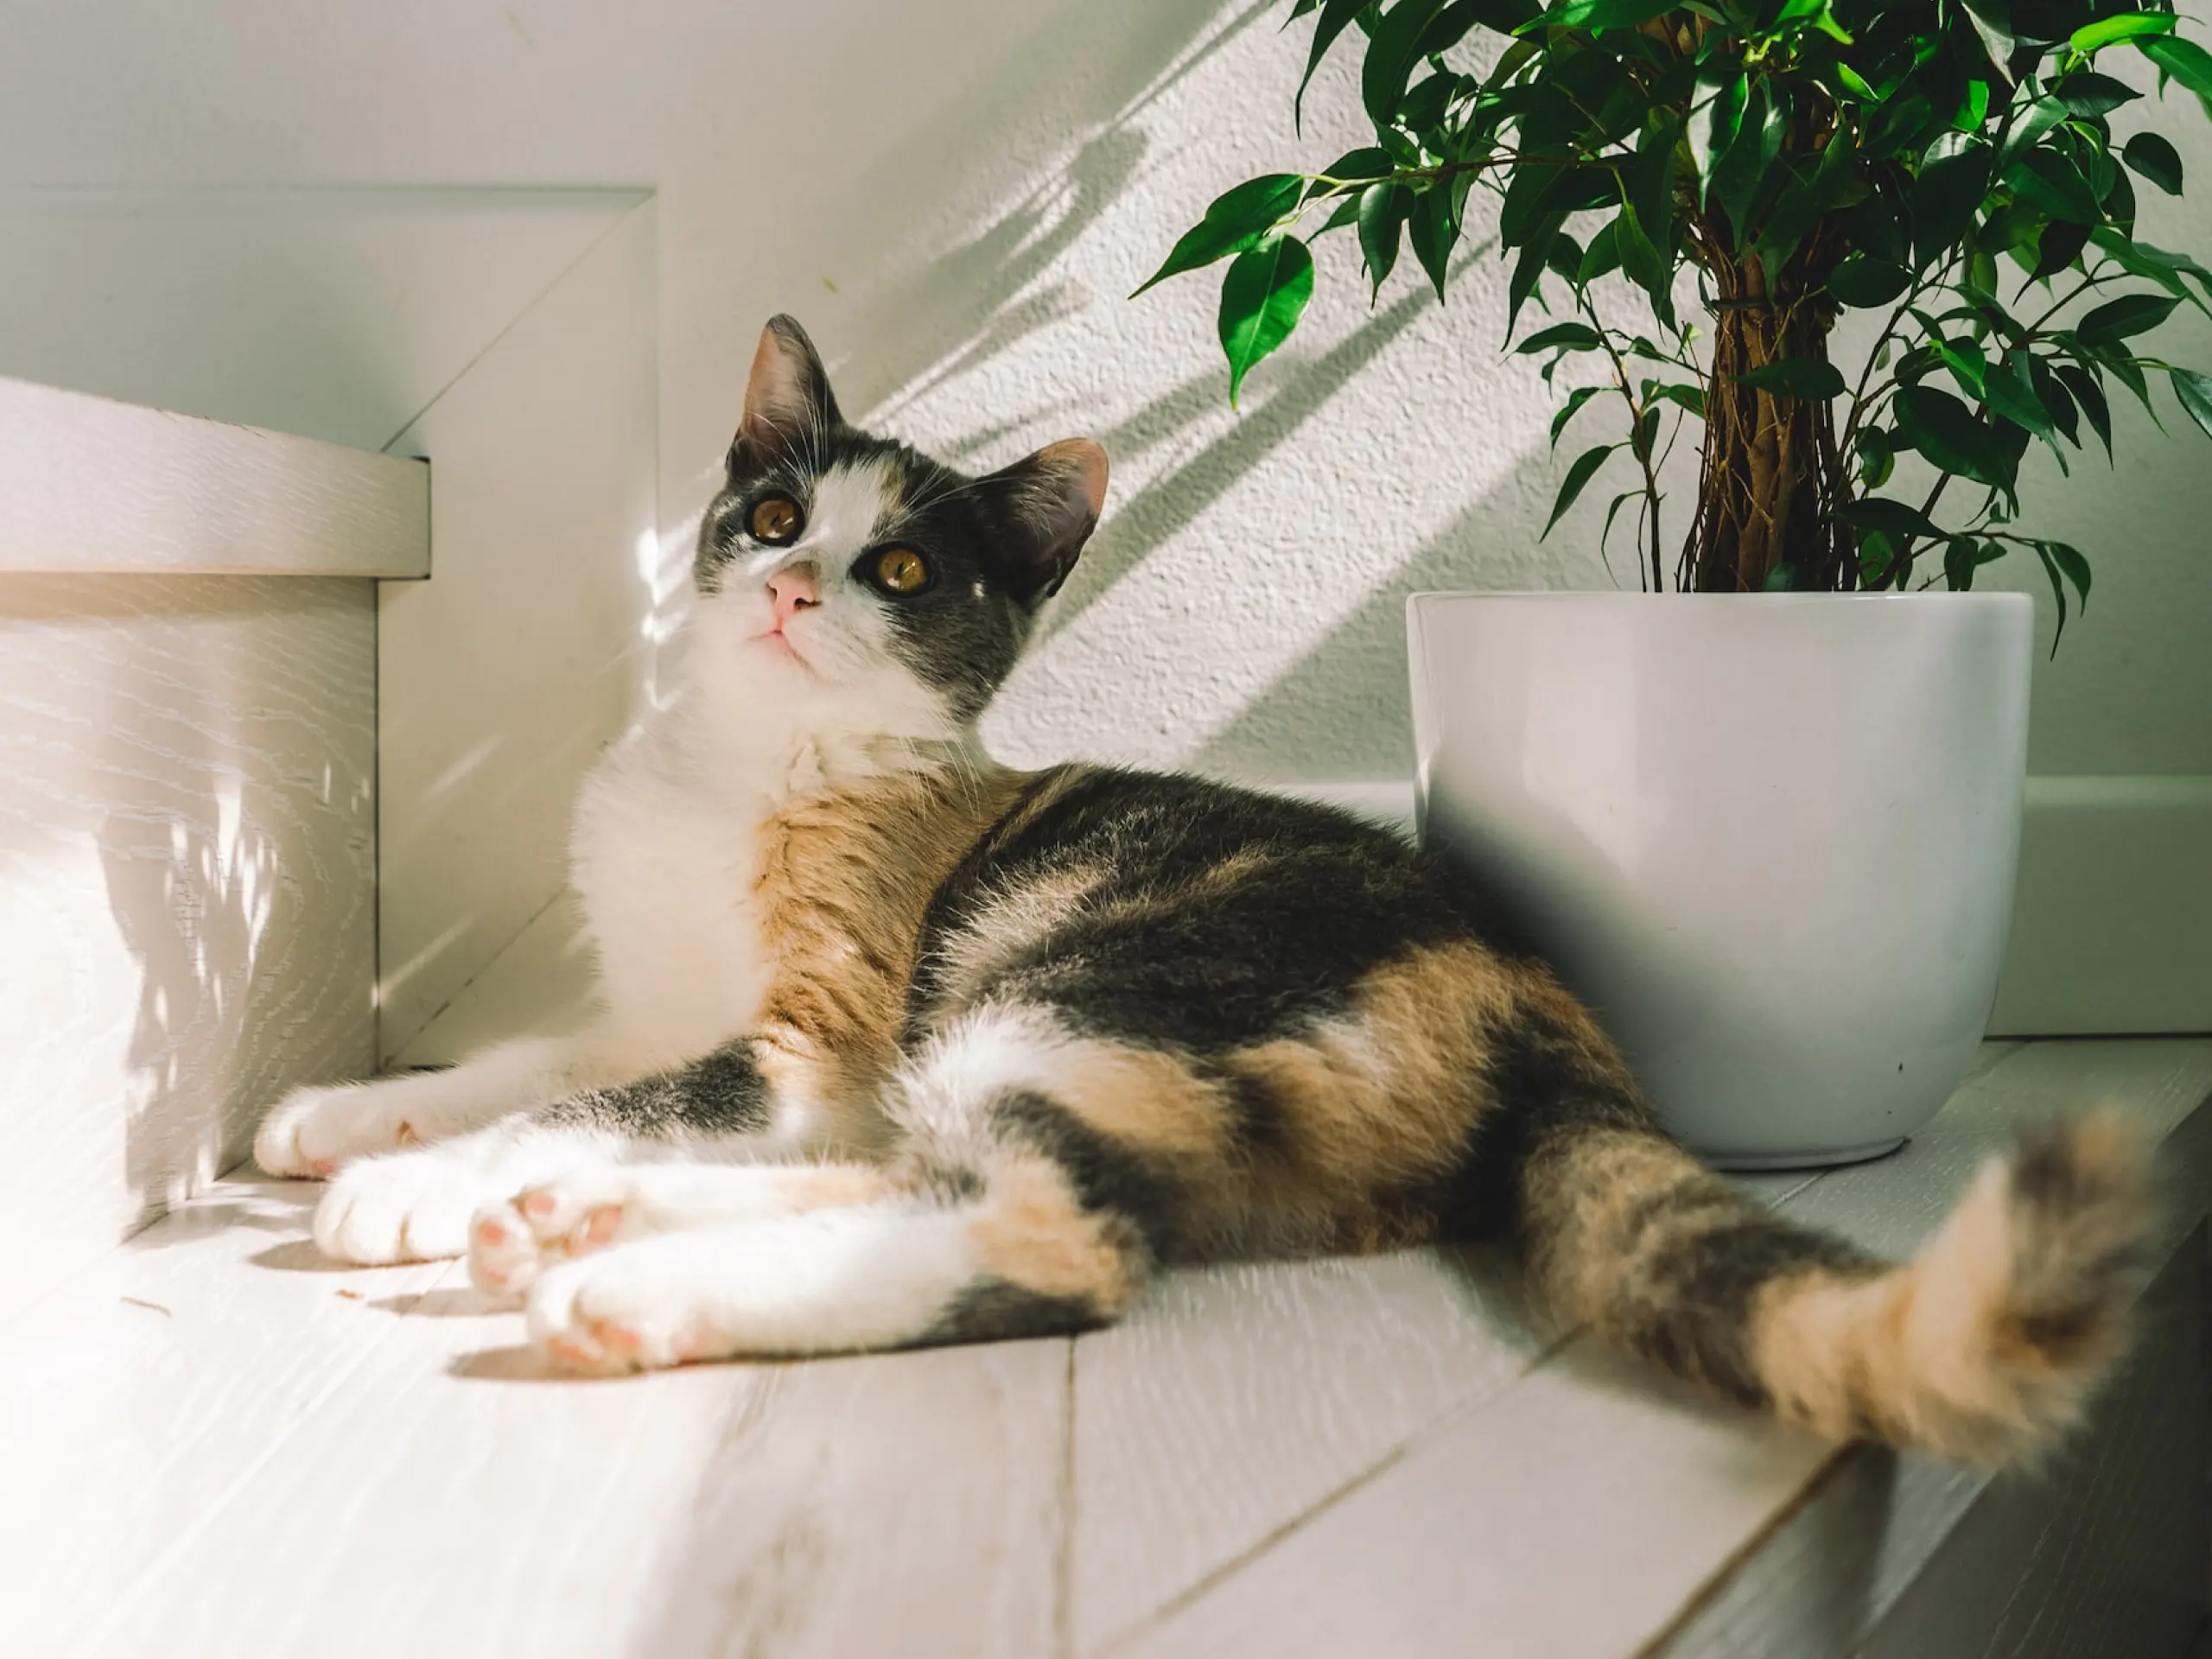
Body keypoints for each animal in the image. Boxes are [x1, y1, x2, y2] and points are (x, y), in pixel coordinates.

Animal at [254, 314, 2141, 1468]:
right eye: (775, 513)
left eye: (902, 569)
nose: (791, 588)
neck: (745, 763)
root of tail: (1537, 992)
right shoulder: (659, 1000)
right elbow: (547, 1063)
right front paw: (353, 1118)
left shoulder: (816, 1039)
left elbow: (635, 1090)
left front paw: (410, 1187)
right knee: (951, 1170)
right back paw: (582, 1223)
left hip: (1089, 977)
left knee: (1056, 1228)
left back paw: (623, 1282)